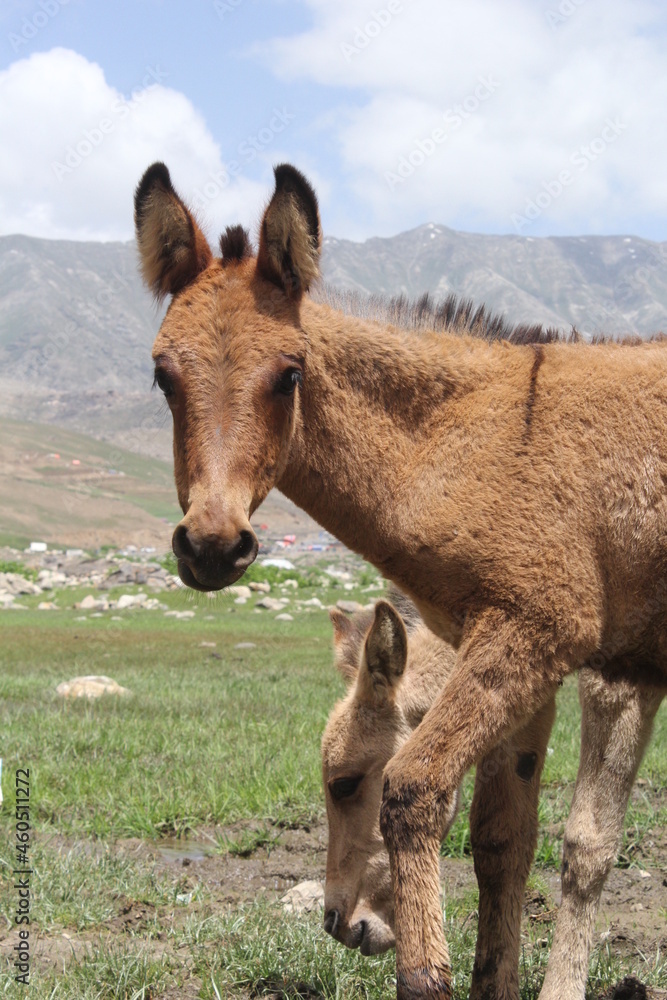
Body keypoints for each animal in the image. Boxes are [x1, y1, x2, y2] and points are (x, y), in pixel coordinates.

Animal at [135, 160, 667, 1000]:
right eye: (162, 377)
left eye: (289, 374)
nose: (212, 547)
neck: (480, 443)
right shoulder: (524, 663)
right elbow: (502, 838)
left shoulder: (565, 651)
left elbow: (436, 795)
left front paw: (430, 974)